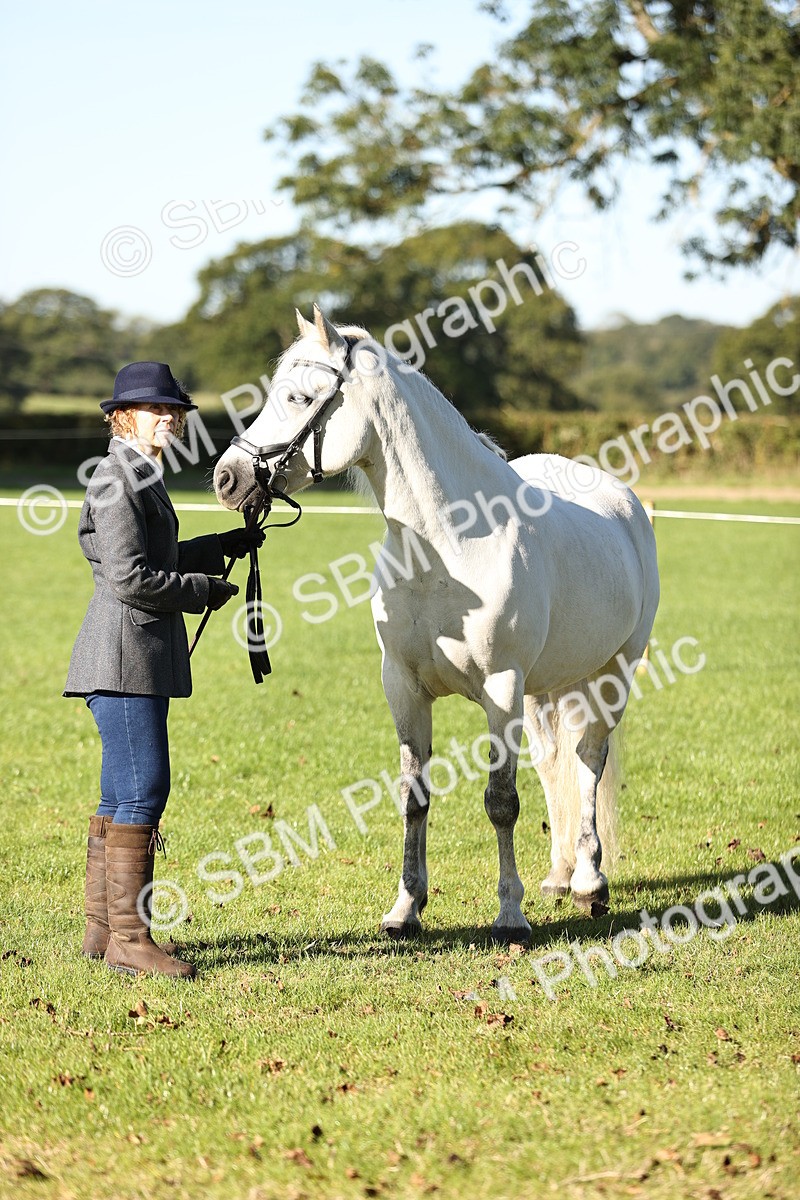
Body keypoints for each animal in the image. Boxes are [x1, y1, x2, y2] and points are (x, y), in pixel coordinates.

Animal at [213, 305, 660, 942]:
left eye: (300, 397)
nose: (227, 479)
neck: (448, 545)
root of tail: (625, 505)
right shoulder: (403, 687)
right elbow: (413, 796)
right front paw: (406, 908)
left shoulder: (501, 687)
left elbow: (501, 801)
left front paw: (509, 915)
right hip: (545, 689)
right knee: (555, 764)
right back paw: (558, 876)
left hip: (611, 675)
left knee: (588, 762)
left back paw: (588, 882)